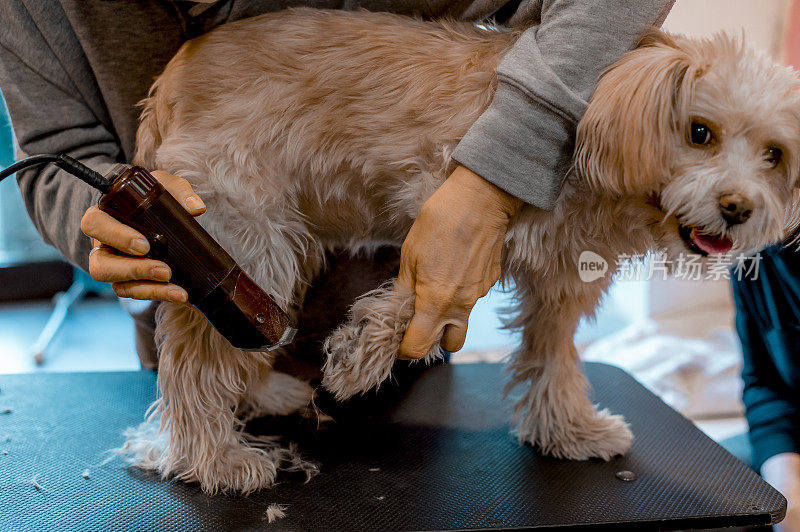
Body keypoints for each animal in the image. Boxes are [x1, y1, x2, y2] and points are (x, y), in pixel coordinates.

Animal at [117, 7, 800, 494]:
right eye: (700, 133)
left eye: (775, 155)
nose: (738, 209)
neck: (596, 132)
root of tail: (172, 79)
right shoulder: (449, 211)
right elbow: (416, 292)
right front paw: (361, 357)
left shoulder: (559, 281)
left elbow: (554, 359)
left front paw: (568, 429)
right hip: (238, 243)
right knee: (195, 359)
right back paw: (213, 459)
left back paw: (259, 396)